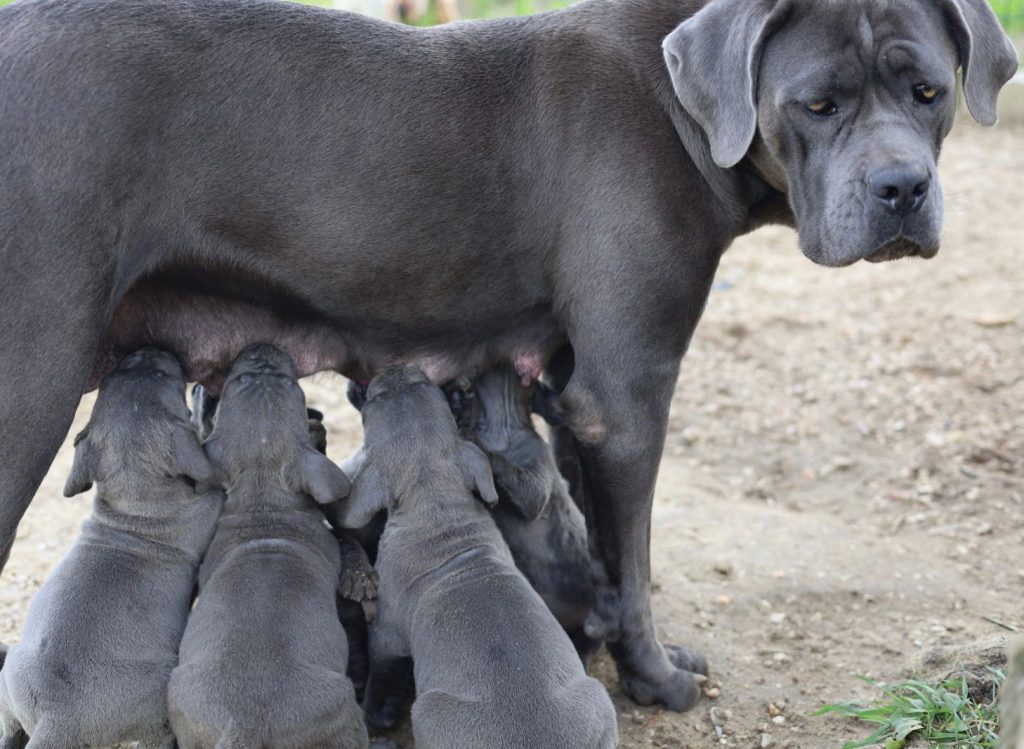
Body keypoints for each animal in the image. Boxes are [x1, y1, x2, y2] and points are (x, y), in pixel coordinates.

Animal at [0, 350, 222, 749]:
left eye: (114, 375)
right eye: (164, 375)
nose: (148, 349)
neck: (135, 493)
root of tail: (56, 719)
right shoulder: (209, 503)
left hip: (10, 686)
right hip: (159, 698)